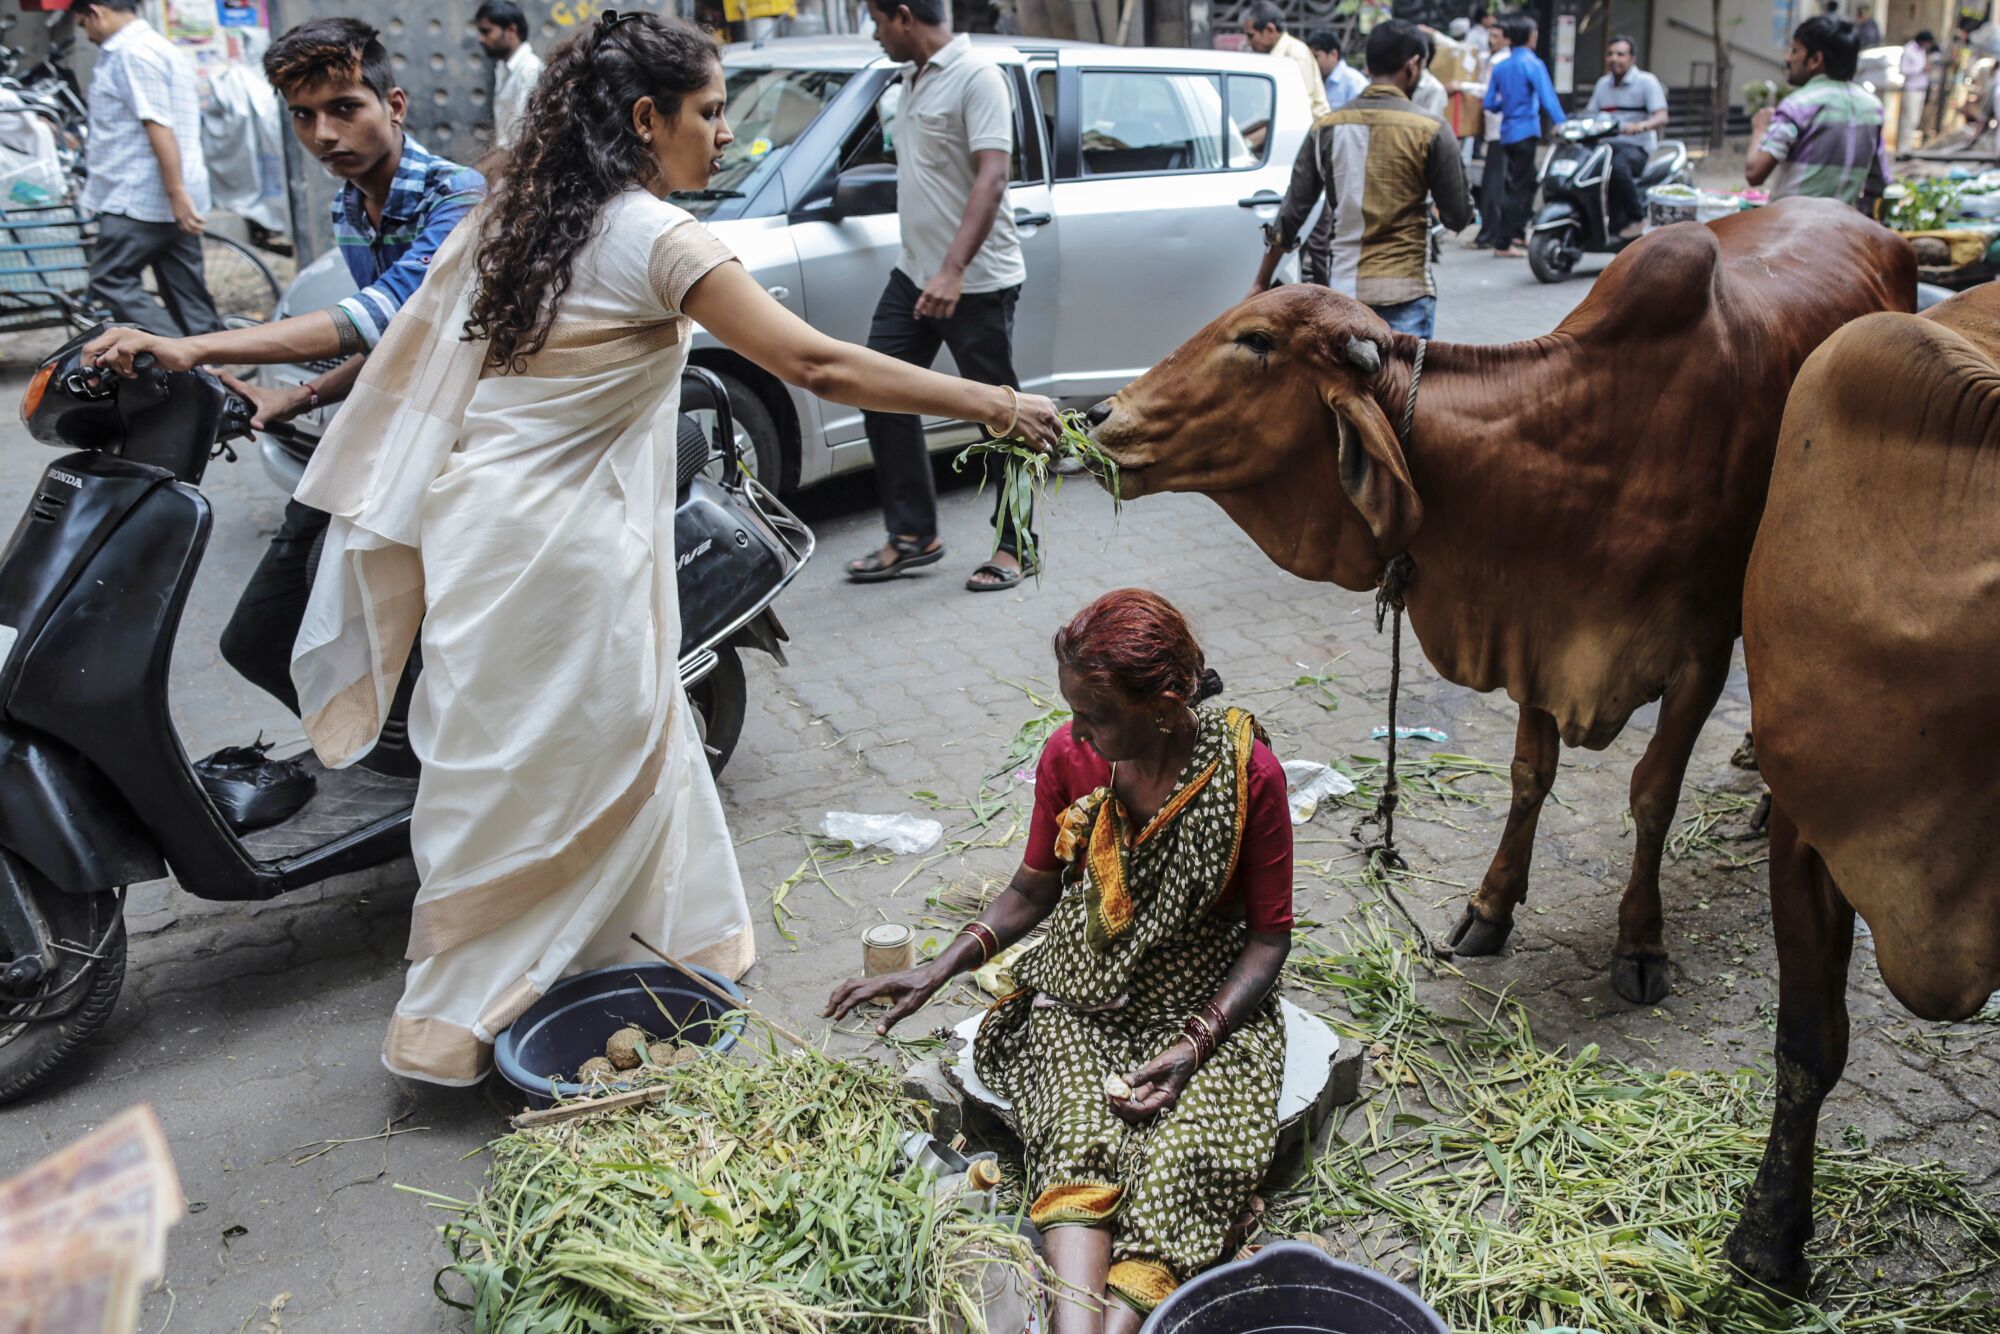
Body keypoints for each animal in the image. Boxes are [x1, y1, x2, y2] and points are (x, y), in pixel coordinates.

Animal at [1088, 193, 1912, 996]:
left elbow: (1653, 792)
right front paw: (1491, 907)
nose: (1100, 416)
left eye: (1256, 340)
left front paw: (1640, 940)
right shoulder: (1537, 632)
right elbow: (1528, 776)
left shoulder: (1701, 652)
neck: (1586, 442)